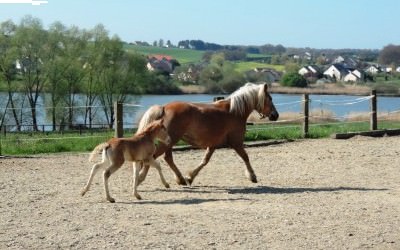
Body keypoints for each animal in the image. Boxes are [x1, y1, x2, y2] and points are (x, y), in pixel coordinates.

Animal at [135, 82, 278, 186]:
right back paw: (141, 178)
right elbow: (245, 157)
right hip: (169, 141)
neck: (234, 111)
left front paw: (190, 177)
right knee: (154, 157)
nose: (275, 115)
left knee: (168, 159)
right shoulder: (236, 142)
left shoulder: (213, 145)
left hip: (169, 141)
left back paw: (181, 179)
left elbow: (205, 161)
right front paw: (252, 176)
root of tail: (164, 108)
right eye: (270, 98)